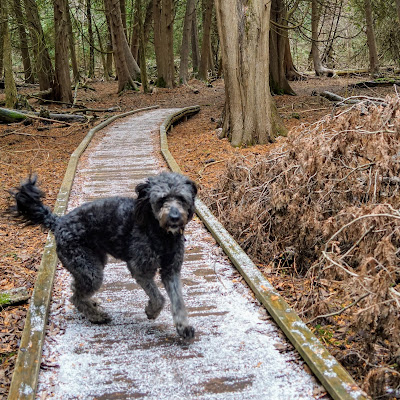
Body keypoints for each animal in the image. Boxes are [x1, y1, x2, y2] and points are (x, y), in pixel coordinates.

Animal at [7, 170, 197, 340]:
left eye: (181, 198)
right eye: (162, 199)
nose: (174, 217)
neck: (160, 233)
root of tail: (58, 222)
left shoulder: (171, 270)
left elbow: (178, 300)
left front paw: (183, 327)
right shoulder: (140, 269)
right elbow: (159, 298)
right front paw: (151, 311)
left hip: (90, 264)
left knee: (75, 287)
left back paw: (91, 304)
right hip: (89, 269)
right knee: (75, 297)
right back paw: (96, 316)